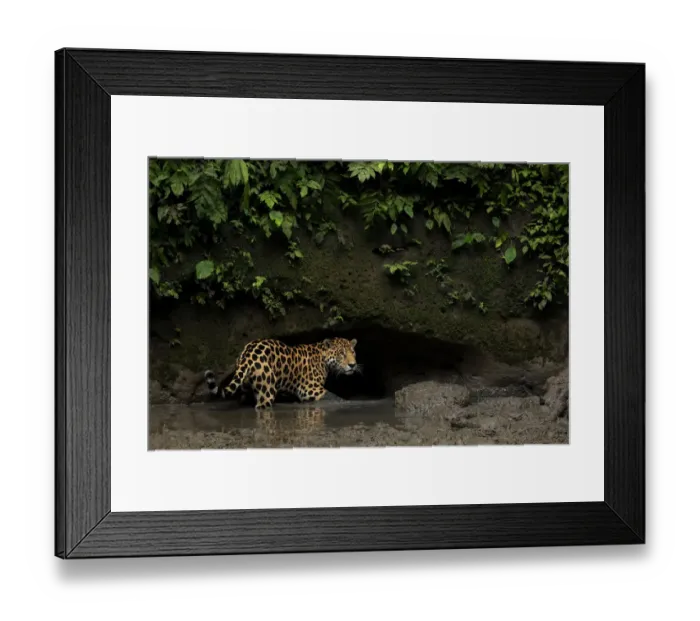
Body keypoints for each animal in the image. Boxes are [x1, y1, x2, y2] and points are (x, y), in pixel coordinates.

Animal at [204, 336, 360, 409]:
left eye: (353, 352)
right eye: (341, 354)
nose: (352, 365)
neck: (322, 359)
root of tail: (248, 352)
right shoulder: (310, 389)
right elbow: (332, 396)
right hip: (267, 391)